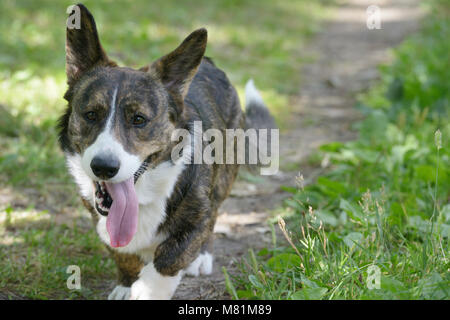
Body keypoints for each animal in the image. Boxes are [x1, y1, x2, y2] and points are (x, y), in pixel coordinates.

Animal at [58, 3, 276, 300]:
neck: (144, 194)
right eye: (91, 115)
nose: (103, 167)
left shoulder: (198, 215)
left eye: (139, 119)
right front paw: (126, 284)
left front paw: (148, 290)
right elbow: (122, 251)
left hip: (222, 180)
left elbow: (173, 255)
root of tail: (210, 63)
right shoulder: (102, 221)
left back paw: (201, 258)